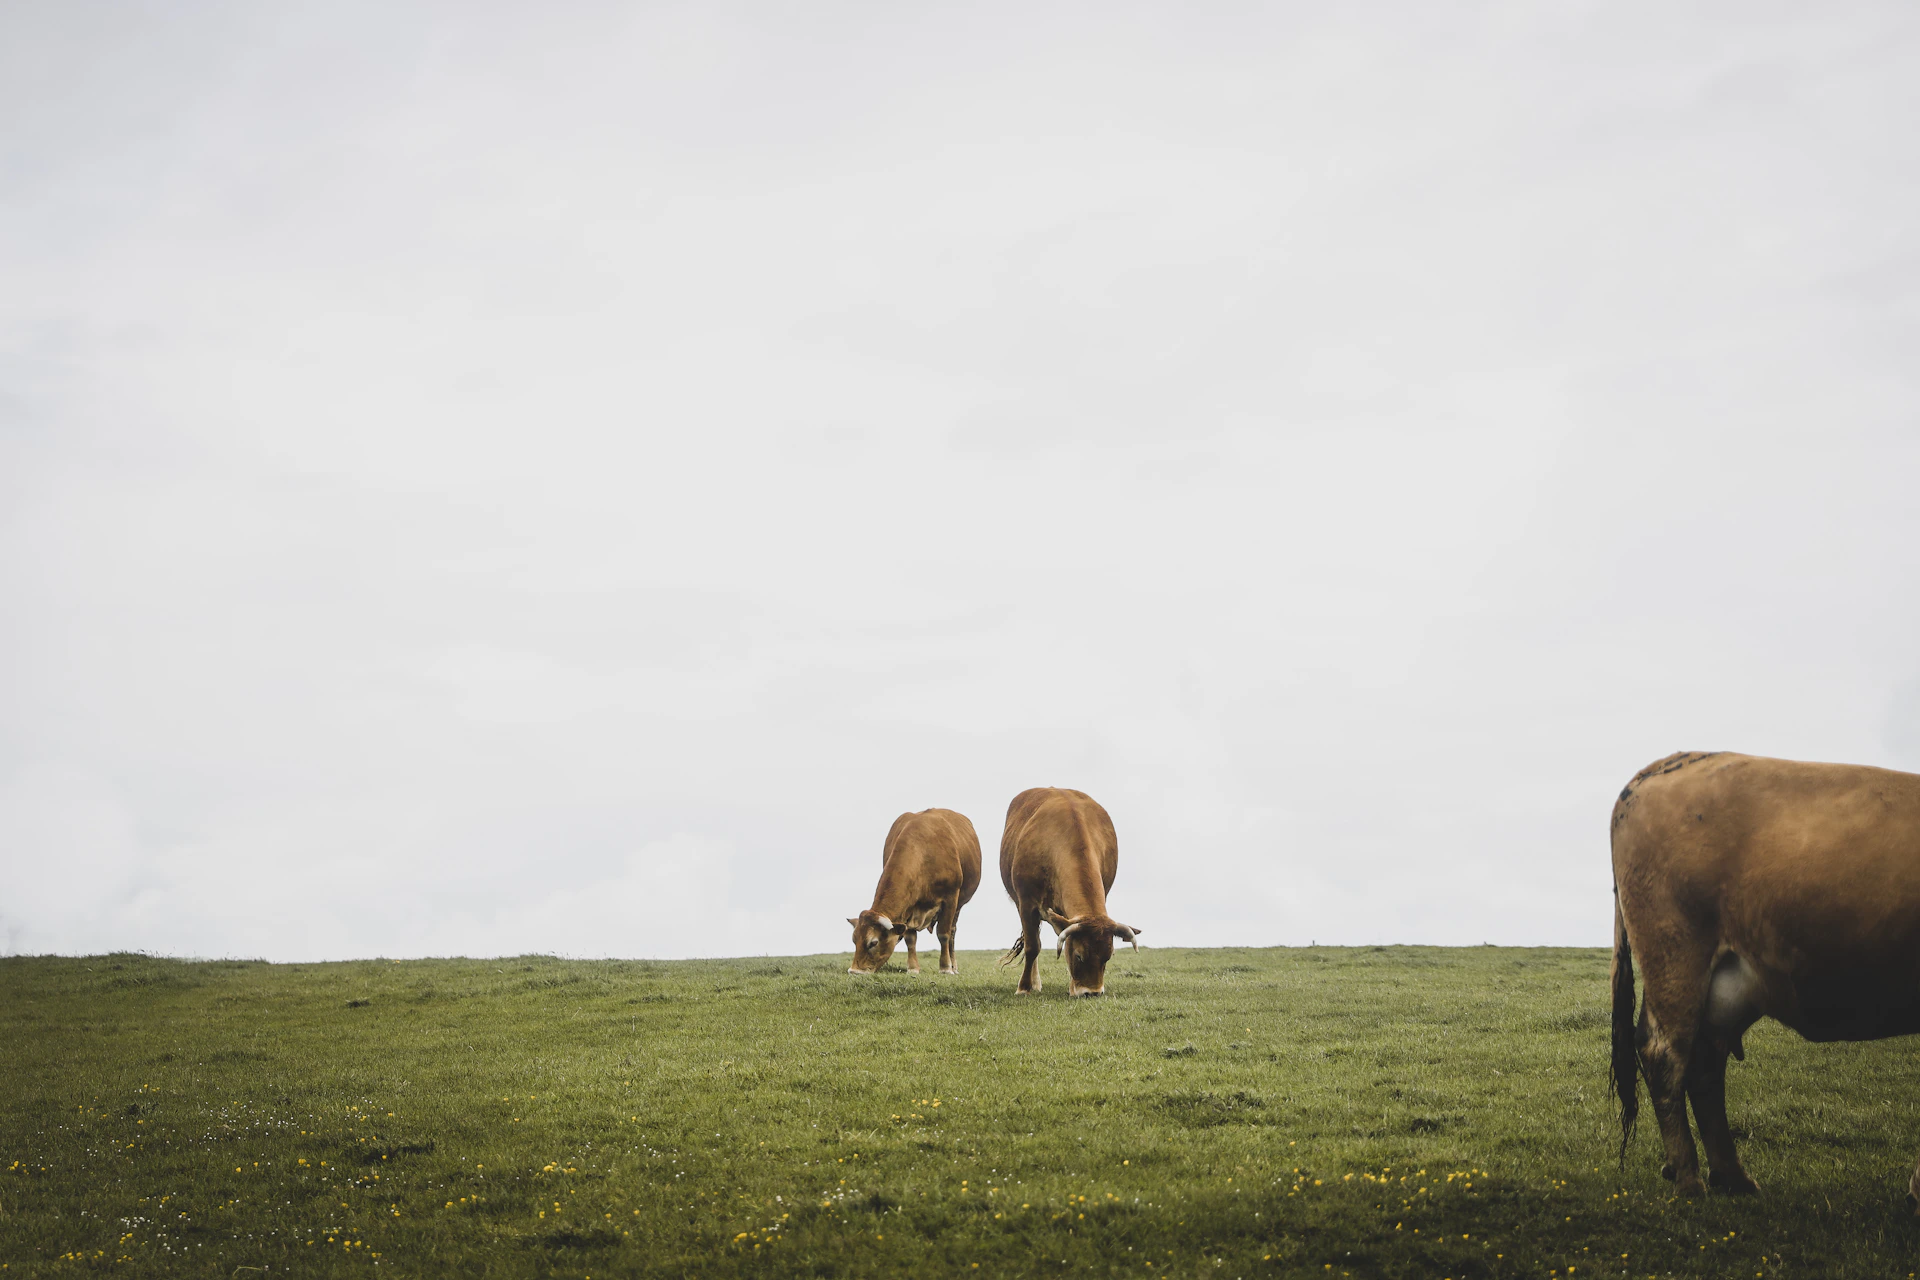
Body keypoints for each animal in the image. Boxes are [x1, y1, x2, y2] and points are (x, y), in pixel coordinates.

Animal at [847, 808, 982, 976]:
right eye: (854, 939)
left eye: (873, 942)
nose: (854, 971)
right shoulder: (909, 907)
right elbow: (910, 938)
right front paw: (913, 968)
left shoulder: (950, 898)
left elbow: (943, 934)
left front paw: (945, 967)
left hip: (959, 904)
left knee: (952, 932)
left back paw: (953, 966)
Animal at [998, 787, 1140, 997]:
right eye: (1079, 956)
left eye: (1107, 957)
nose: (1092, 992)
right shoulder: (1026, 904)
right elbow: (1032, 947)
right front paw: (1024, 987)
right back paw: (1034, 983)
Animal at [1610, 750, 1920, 1206]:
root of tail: (1668, 763)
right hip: (1676, 956)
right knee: (1665, 1054)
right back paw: (1689, 1180)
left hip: (1724, 983)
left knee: (1704, 1061)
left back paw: (1732, 1176)